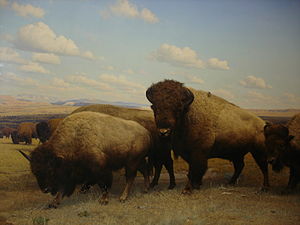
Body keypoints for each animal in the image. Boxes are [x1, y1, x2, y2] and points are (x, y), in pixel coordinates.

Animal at [19, 111, 151, 208]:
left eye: (51, 170)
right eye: (35, 172)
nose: (45, 189)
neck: (75, 138)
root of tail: (146, 132)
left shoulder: (100, 168)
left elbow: (104, 185)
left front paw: (103, 200)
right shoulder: (74, 173)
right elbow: (66, 187)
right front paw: (54, 202)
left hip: (132, 162)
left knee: (130, 178)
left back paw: (123, 197)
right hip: (138, 161)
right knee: (145, 171)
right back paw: (145, 189)